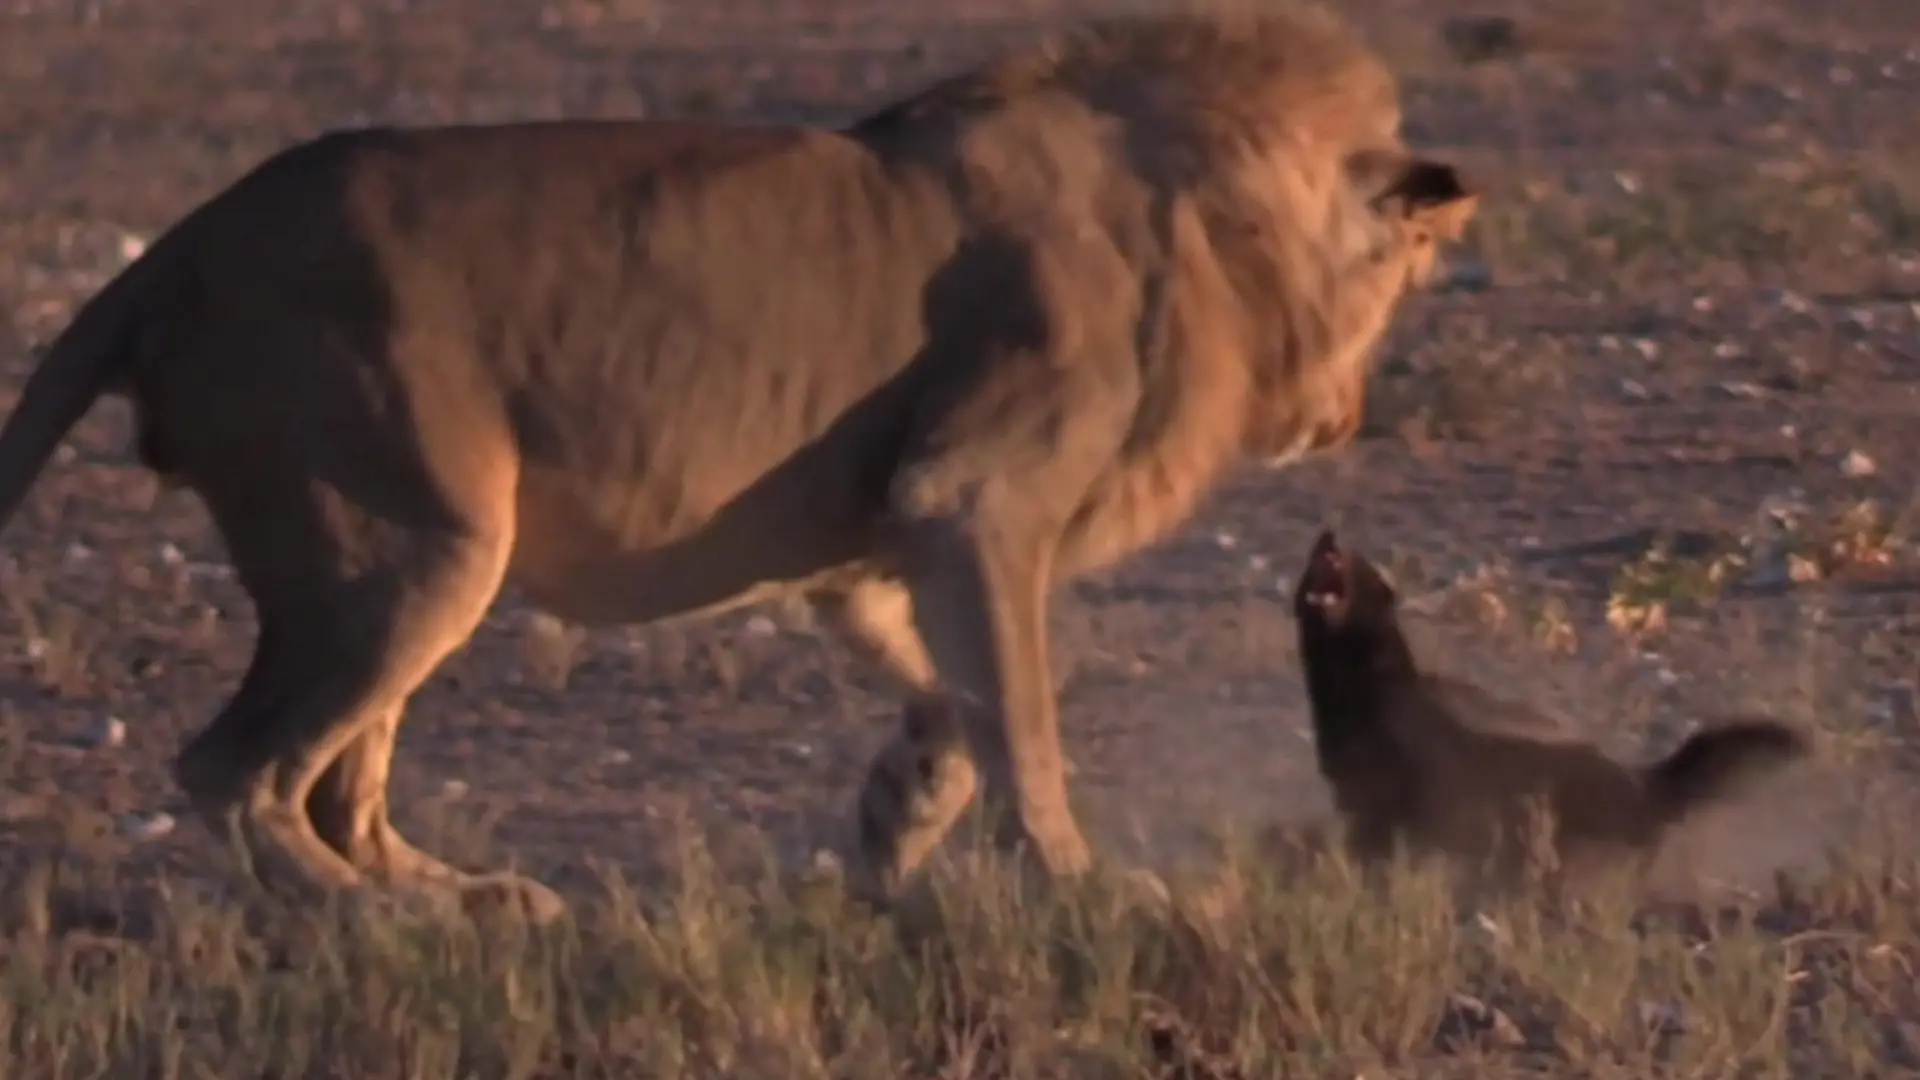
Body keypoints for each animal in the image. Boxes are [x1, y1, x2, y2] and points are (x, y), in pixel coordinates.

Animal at [0, 1, 1477, 923]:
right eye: (1409, 275)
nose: (1344, 421)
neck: (1211, 208)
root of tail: (175, 247)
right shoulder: (973, 498)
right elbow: (1025, 715)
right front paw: (1082, 884)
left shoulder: (883, 538)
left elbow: (952, 702)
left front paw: (892, 826)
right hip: (409, 549)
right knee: (233, 773)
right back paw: (376, 922)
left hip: (404, 561)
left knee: (339, 789)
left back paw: (468, 899)